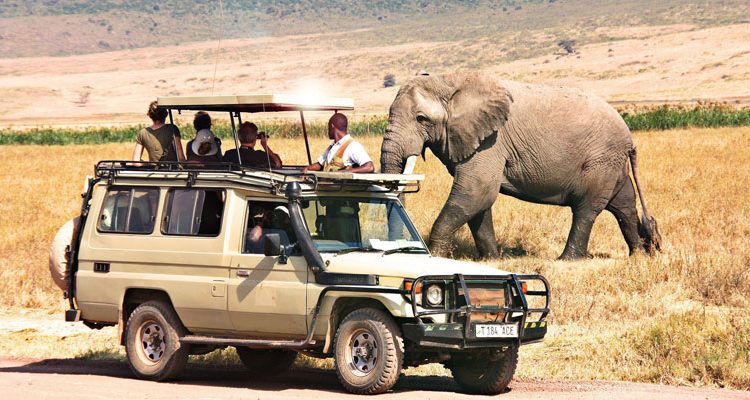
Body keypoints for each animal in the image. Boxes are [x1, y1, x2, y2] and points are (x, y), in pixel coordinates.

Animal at [380, 72, 661, 260]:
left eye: (421, 119)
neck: (450, 82)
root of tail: (629, 138)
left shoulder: (491, 141)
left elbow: (476, 192)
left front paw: (435, 256)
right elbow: (478, 202)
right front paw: (492, 260)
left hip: (600, 160)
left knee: (586, 209)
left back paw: (567, 260)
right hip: (611, 163)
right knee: (623, 205)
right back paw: (639, 255)